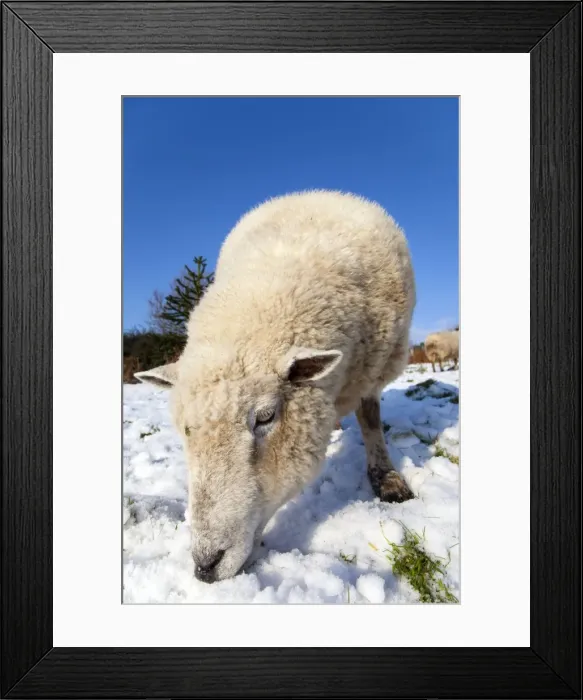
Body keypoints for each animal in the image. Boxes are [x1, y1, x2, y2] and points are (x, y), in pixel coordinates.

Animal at [136, 190, 416, 582]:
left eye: (266, 417)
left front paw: (387, 479)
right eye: (186, 430)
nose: (205, 565)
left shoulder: (373, 372)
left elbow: (371, 419)